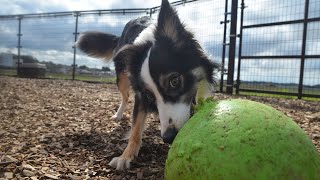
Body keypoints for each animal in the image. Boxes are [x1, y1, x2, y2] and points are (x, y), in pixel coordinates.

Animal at [76, 0, 219, 170]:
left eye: (174, 81)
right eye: (149, 95)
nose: (168, 137)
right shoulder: (140, 95)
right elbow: (136, 128)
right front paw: (125, 156)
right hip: (122, 77)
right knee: (125, 97)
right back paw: (118, 115)